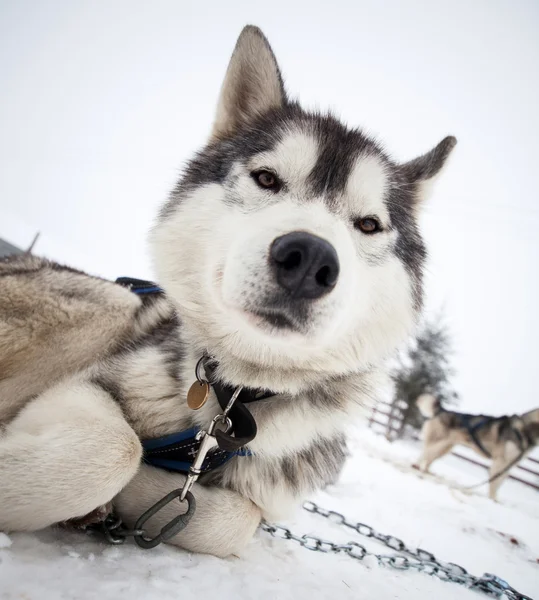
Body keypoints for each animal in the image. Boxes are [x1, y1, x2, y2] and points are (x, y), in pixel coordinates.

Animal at [0, 25, 456, 556]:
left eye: (368, 224)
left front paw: (141, 496)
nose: (310, 260)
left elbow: (233, 518)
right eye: (266, 178)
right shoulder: (91, 385)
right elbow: (116, 449)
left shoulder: (262, 495)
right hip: (115, 303)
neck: (232, 402)